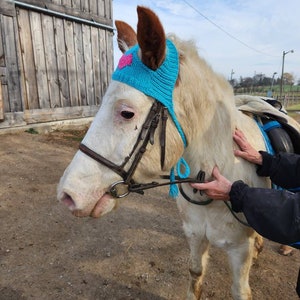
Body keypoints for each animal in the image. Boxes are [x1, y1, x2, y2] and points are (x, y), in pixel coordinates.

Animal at [56, 5, 298, 298]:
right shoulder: (195, 236)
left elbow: (240, 290)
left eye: (127, 113)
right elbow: (195, 275)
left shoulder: (239, 251)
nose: (68, 195)